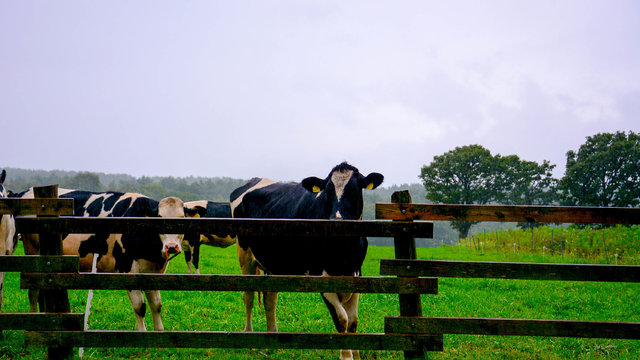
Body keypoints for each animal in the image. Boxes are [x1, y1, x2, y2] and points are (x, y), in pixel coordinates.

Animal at [19, 188, 185, 332]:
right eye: (160, 218)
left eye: (182, 219)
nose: (171, 247)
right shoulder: (127, 269)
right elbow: (140, 306)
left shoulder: (152, 272)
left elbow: (156, 305)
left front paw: (159, 334)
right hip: (32, 254)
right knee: (33, 292)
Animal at [229, 162, 380, 360]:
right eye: (327, 192)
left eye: (354, 190)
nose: (336, 220)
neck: (344, 255)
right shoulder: (321, 277)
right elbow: (342, 319)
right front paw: (346, 356)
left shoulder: (356, 275)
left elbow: (353, 321)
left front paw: (356, 354)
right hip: (245, 255)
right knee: (248, 296)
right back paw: (249, 337)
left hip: (273, 263)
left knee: (270, 298)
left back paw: (273, 337)